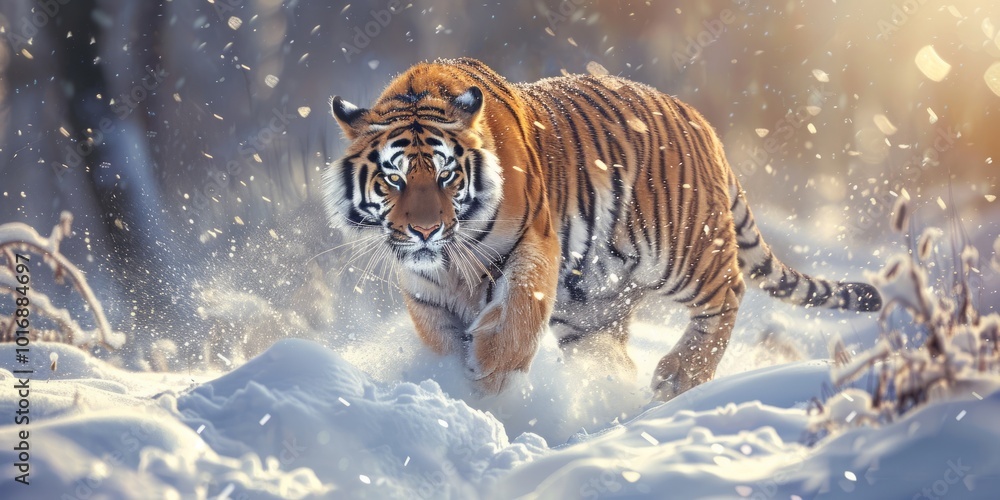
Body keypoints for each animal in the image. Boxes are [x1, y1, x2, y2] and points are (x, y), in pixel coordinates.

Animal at [322, 57, 882, 400]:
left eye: (446, 175)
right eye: (393, 179)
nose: (424, 231)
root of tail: (701, 121)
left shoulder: (533, 243)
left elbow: (518, 311)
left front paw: (492, 371)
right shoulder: (425, 290)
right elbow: (438, 340)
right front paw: (456, 389)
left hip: (684, 252)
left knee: (729, 292)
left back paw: (680, 375)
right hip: (594, 304)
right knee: (611, 354)